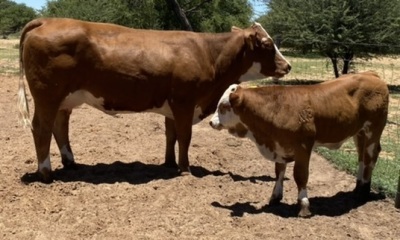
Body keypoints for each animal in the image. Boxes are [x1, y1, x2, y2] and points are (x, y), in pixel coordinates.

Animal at [17, 17, 290, 183]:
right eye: (267, 44)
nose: (287, 66)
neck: (209, 55)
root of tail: (48, 20)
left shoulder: (173, 107)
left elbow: (171, 136)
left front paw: (169, 163)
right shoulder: (184, 102)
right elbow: (185, 137)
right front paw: (185, 170)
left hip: (64, 100)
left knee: (59, 127)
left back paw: (71, 163)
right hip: (47, 96)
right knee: (41, 128)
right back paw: (46, 173)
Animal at [211, 71, 390, 218]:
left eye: (224, 106)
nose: (211, 122)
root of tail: (371, 74)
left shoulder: (304, 147)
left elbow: (300, 175)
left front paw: (303, 205)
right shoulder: (280, 147)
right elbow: (279, 172)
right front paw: (275, 197)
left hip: (373, 129)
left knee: (370, 157)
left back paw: (364, 191)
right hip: (359, 132)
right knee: (361, 157)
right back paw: (358, 187)